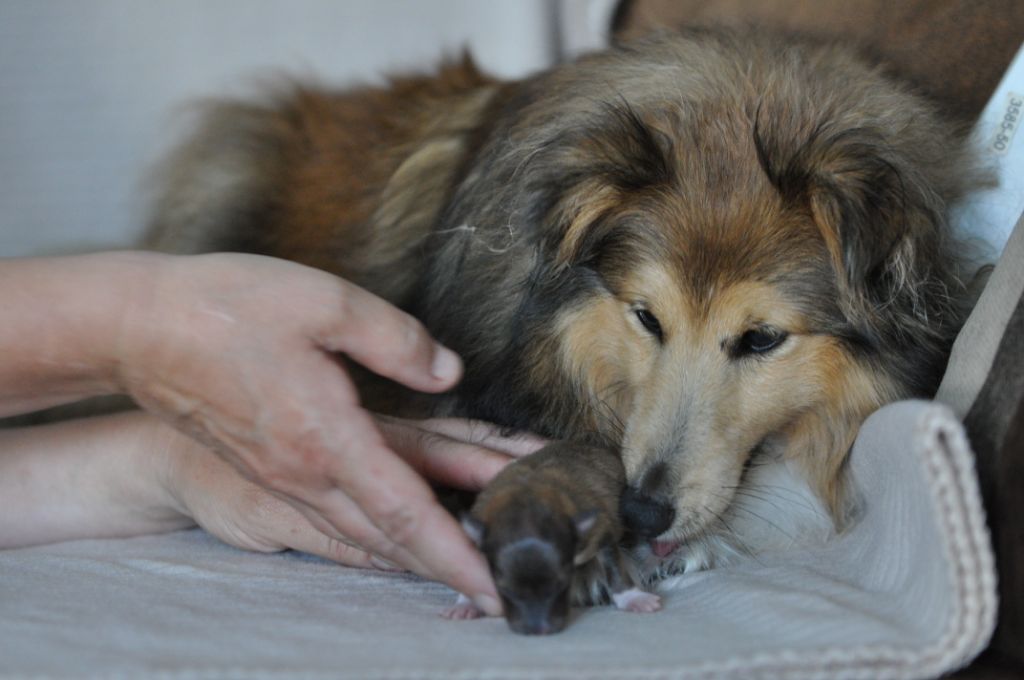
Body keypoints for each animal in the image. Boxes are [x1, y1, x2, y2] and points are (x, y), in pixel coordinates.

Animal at [444, 444, 659, 634]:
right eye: (504, 589)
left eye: (564, 584)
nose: (538, 630)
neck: (529, 492)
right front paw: (466, 604)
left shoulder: (599, 531)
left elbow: (614, 567)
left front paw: (634, 598)